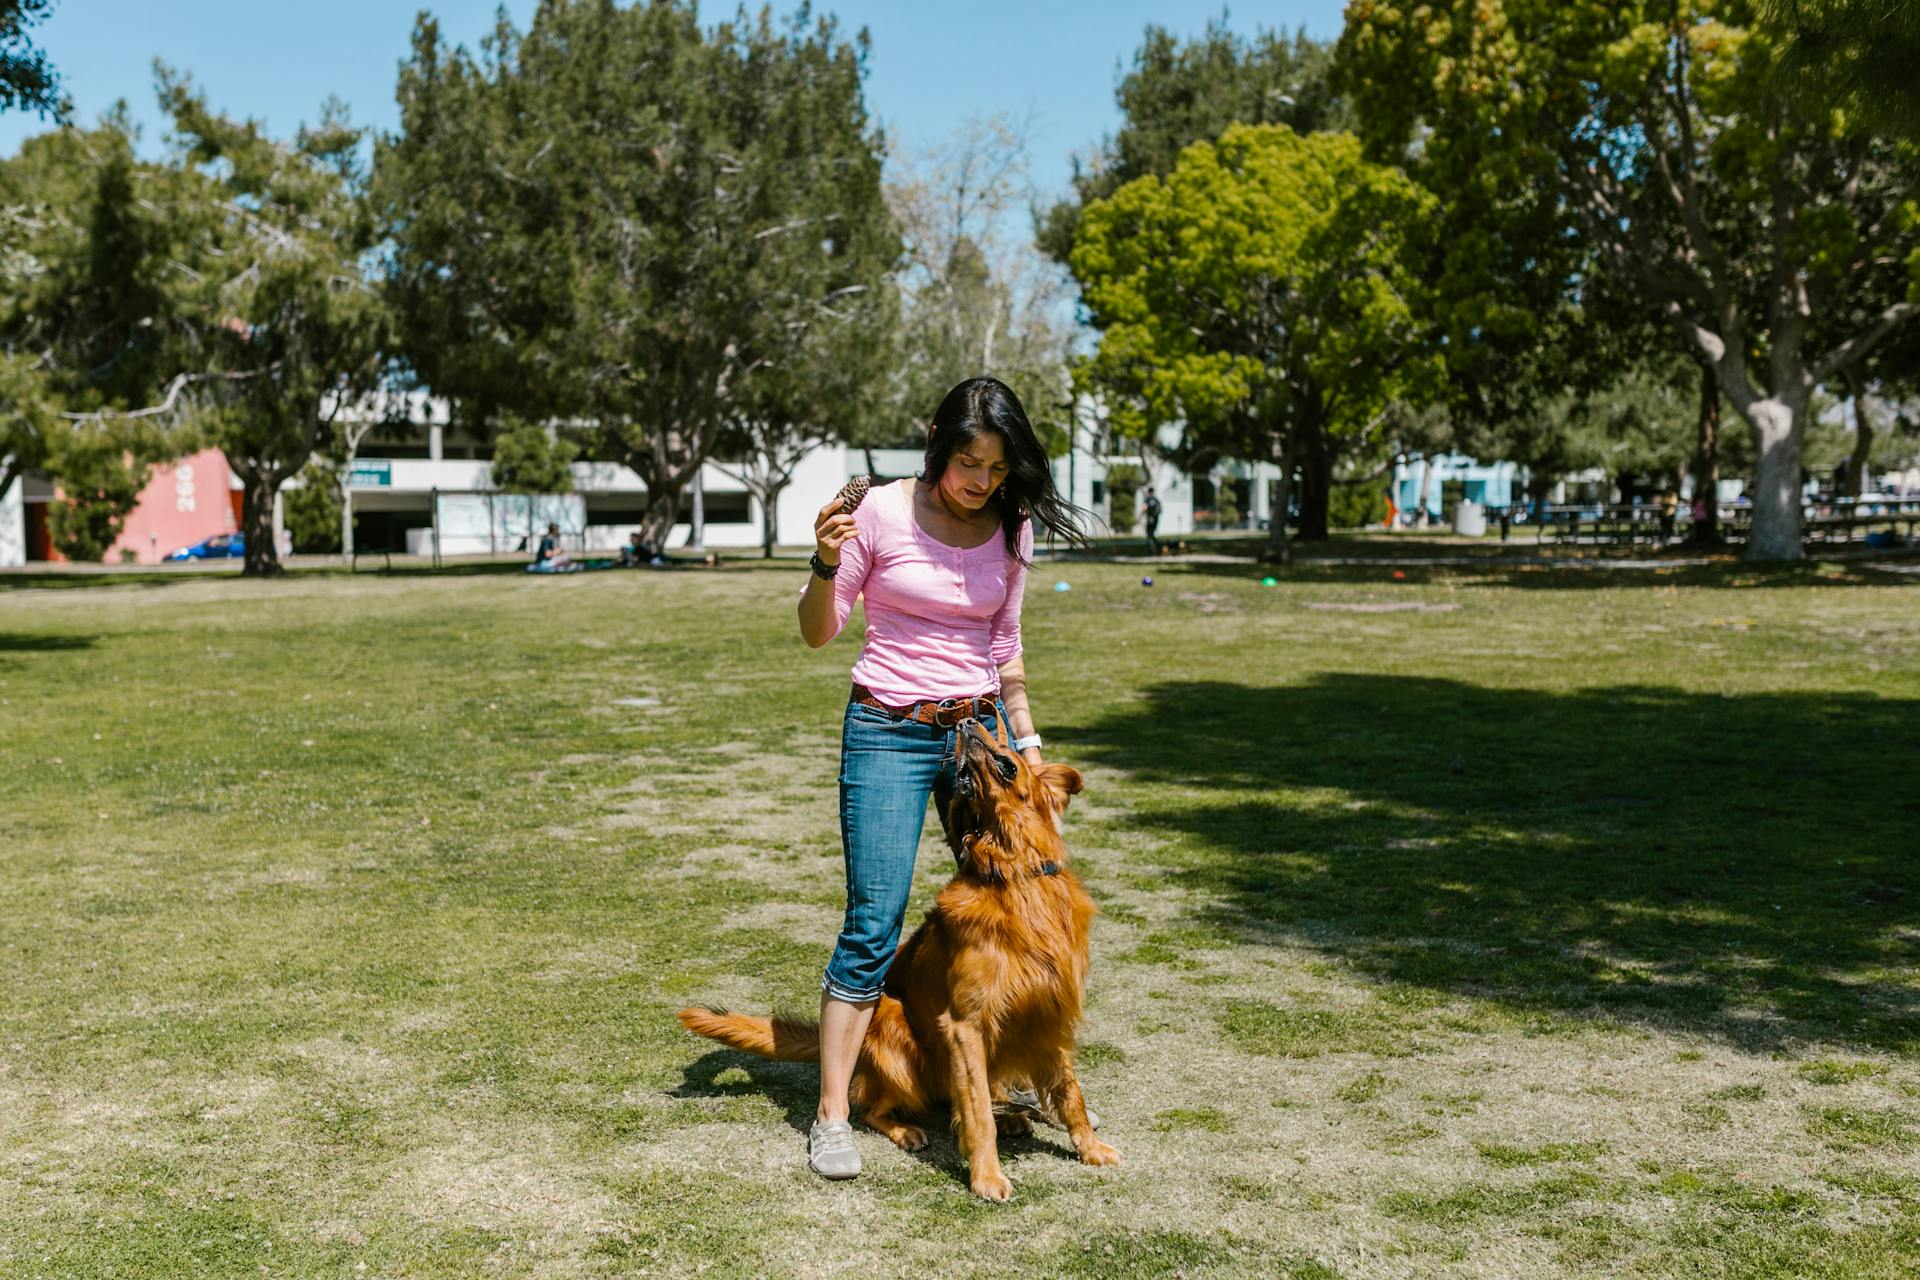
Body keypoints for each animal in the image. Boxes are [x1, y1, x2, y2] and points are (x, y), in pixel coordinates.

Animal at [683, 717, 1121, 1197]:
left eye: (1005, 744)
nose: (967, 719)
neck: (1014, 873)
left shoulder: (1050, 1008)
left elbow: (1069, 1092)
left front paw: (1091, 1148)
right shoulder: (965, 1025)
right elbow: (976, 1112)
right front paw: (987, 1176)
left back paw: (1012, 1117)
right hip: (896, 1032)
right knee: (876, 1107)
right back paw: (906, 1130)